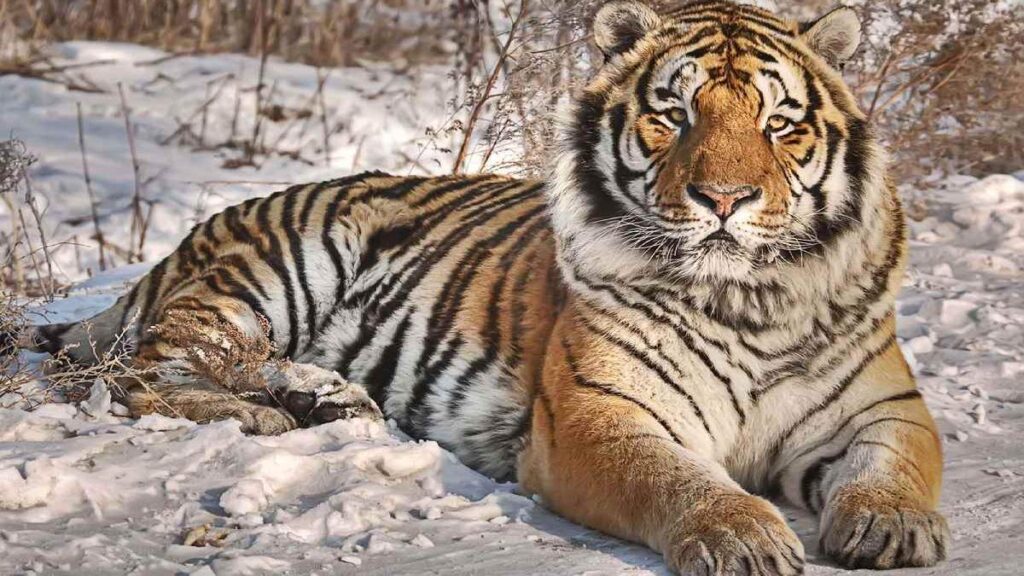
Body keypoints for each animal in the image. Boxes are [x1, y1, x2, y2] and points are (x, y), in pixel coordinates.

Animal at [18, 1, 950, 569]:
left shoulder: (885, 406)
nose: (724, 198)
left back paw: (325, 399)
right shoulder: (599, 414)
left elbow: (896, 466)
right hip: (281, 269)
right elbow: (678, 479)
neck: (747, 299)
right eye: (673, 114)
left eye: (779, 122)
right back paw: (265, 412)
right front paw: (744, 536)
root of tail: (195, 235)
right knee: (147, 370)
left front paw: (894, 525)